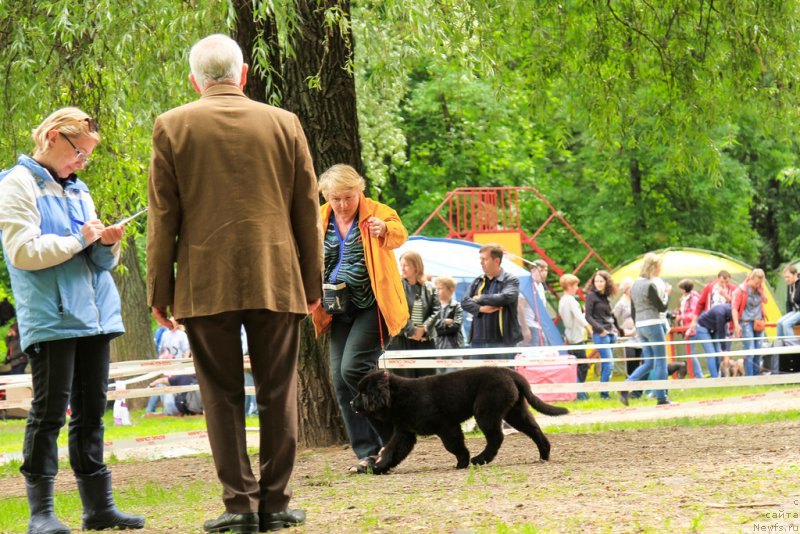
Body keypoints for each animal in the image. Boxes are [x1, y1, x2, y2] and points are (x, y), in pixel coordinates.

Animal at [350, 366, 568, 476]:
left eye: (363, 393)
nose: (352, 403)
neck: (399, 397)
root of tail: (510, 372)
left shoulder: (445, 425)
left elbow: (454, 445)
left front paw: (462, 462)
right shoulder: (405, 433)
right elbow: (391, 451)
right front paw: (377, 468)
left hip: (486, 410)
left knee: (496, 437)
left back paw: (479, 459)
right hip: (515, 411)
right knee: (535, 430)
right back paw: (544, 455)